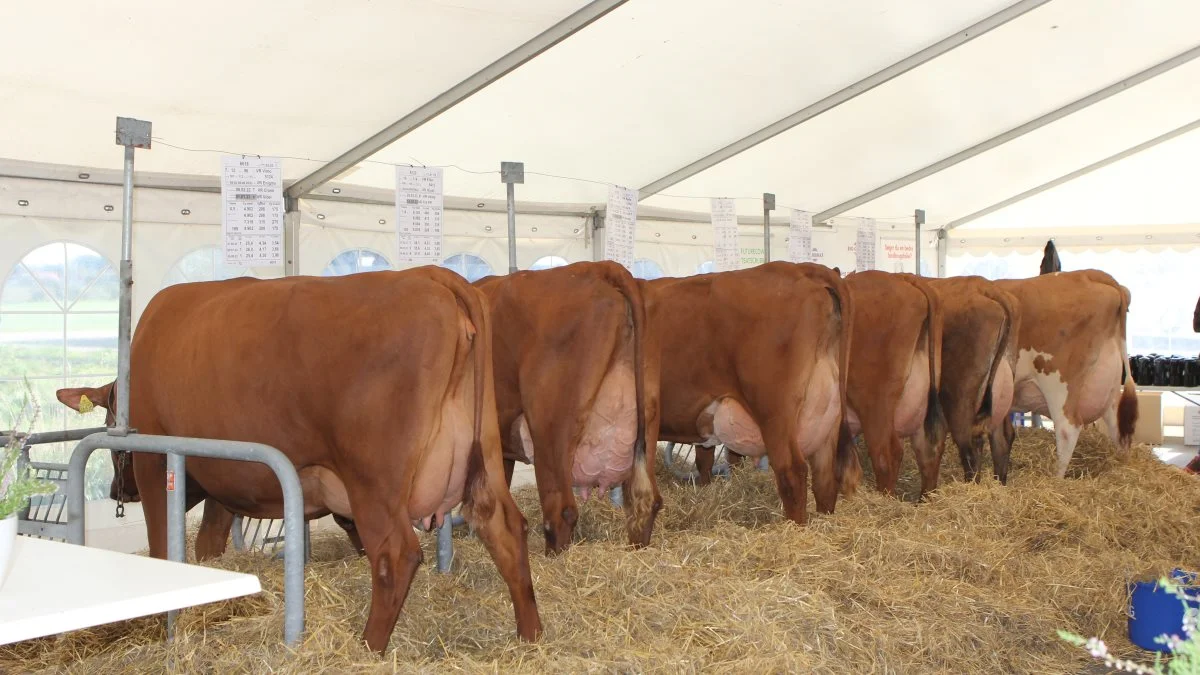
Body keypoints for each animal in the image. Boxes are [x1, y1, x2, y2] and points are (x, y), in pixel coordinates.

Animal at [56, 267, 540, 653]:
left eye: (110, 416)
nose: (116, 491)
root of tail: (431, 275)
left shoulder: (155, 462)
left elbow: (162, 546)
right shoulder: (224, 480)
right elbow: (209, 543)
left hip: (374, 483)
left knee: (395, 556)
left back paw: (366, 648)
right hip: (486, 457)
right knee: (505, 529)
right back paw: (530, 634)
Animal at [643, 258, 859, 521]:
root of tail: (798, 268)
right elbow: (704, 462)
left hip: (775, 411)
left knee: (792, 472)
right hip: (826, 411)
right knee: (825, 477)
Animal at [988, 265, 1137, 475]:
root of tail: (1088, 274)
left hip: (1059, 383)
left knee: (1068, 429)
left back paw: (1056, 477)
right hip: (1110, 389)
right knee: (1119, 430)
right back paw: (1123, 464)